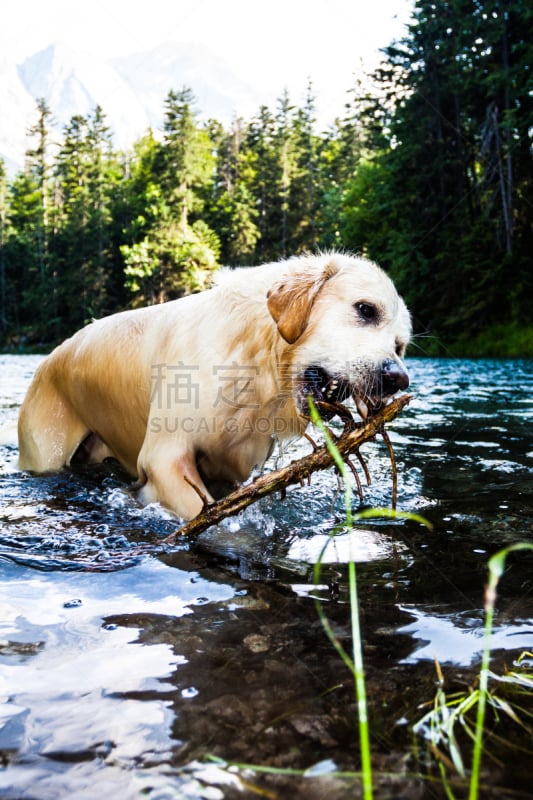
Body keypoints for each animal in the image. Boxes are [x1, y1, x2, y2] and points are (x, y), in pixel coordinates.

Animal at [16, 253, 408, 520]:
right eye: (365, 309)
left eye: (400, 345)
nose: (398, 378)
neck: (256, 366)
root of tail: (50, 357)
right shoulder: (164, 458)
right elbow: (208, 518)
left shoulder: (235, 467)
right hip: (44, 447)